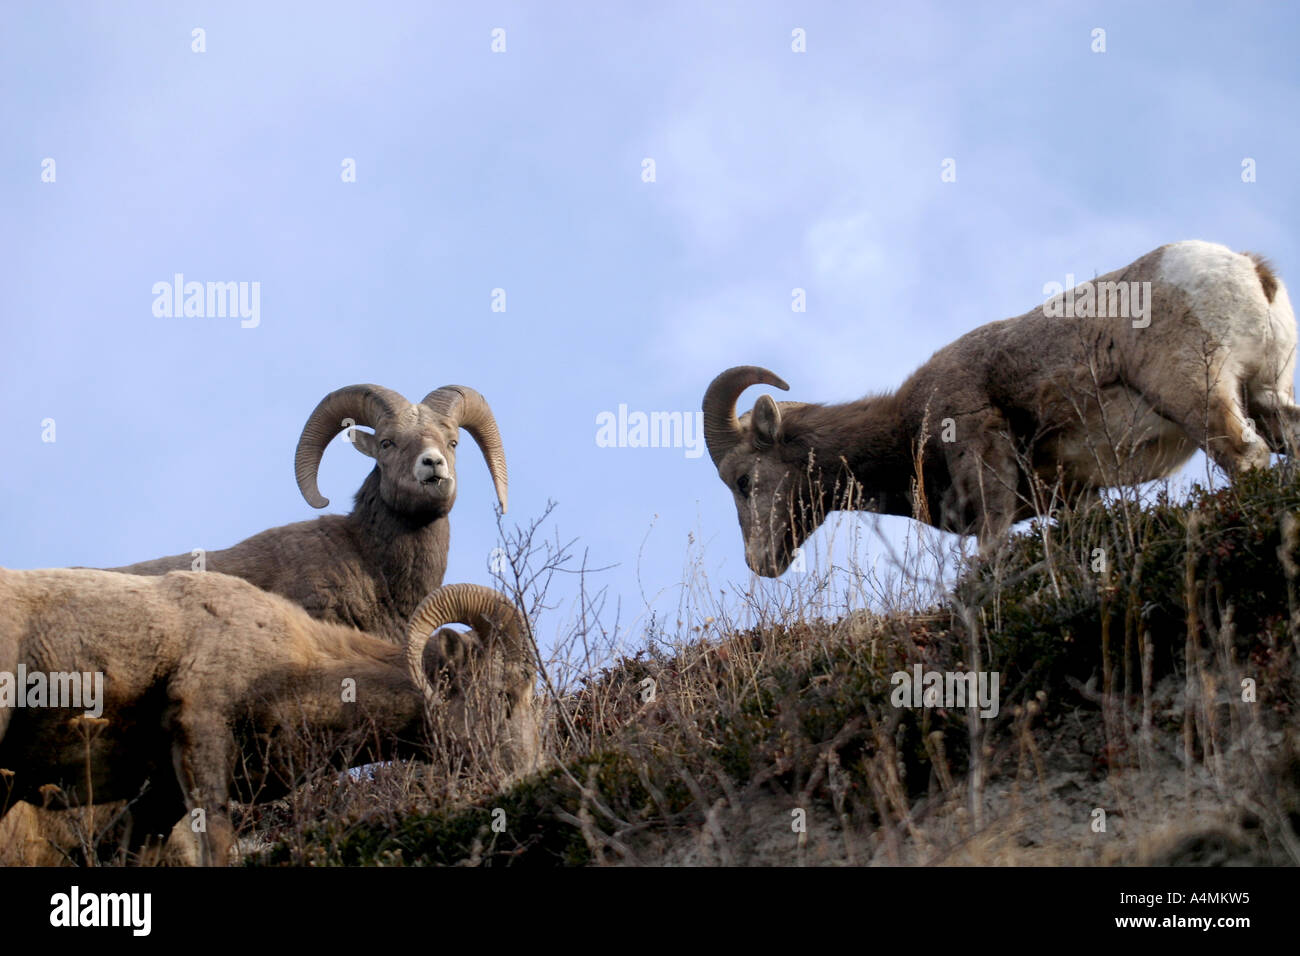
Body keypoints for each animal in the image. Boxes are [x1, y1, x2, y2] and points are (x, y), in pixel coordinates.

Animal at [707, 243, 1294, 580]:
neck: (908, 427)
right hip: (1268, 397)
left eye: (742, 480)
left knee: (1244, 455)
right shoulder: (1074, 497)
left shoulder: (984, 463)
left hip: (1197, 395)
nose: (760, 564)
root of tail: (1251, 272)